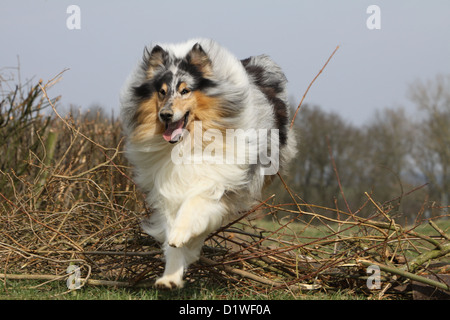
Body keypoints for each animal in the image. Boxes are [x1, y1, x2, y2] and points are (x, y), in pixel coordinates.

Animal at [120, 38, 296, 288]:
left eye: (185, 90)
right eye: (161, 92)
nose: (165, 114)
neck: (188, 142)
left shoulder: (220, 179)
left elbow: (194, 203)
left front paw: (180, 233)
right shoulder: (168, 188)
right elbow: (172, 233)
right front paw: (170, 277)